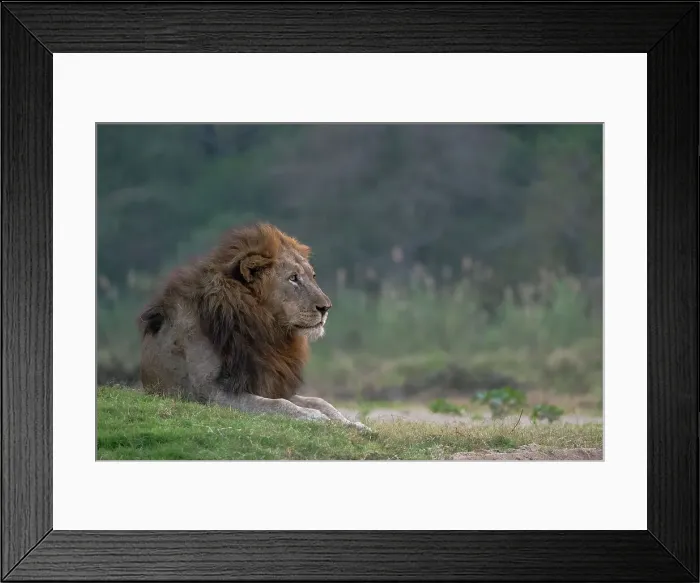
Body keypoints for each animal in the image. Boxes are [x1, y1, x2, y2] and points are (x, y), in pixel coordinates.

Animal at [137, 222, 369, 431]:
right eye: (293, 278)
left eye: (313, 276)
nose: (326, 307)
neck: (265, 329)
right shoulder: (209, 392)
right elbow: (279, 405)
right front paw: (316, 418)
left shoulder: (264, 382)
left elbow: (319, 401)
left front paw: (354, 424)